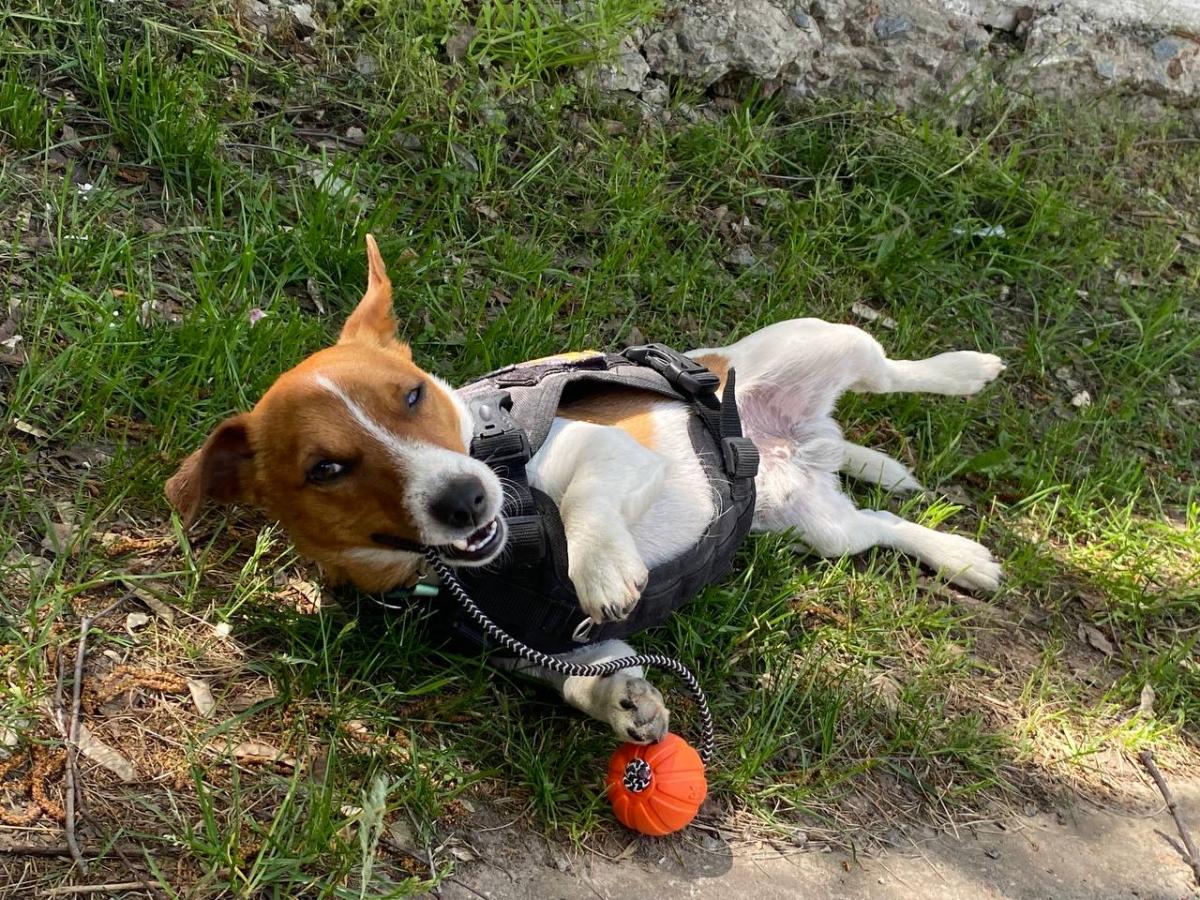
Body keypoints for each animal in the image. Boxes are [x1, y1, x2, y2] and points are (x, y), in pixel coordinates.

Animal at [169, 236, 1008, 744]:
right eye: (327, 470)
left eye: (413, 394)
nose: (466, 500)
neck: (479, 568)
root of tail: (795, 439)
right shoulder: (537, 644)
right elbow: (585, 671)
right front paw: (621, 702)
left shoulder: (609, 452)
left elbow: (588, 505)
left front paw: (601, 568)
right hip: (822, 526)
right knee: (883, 525)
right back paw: (956, 551)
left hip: (824, 341)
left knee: (895, 371)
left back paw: (966, 369)